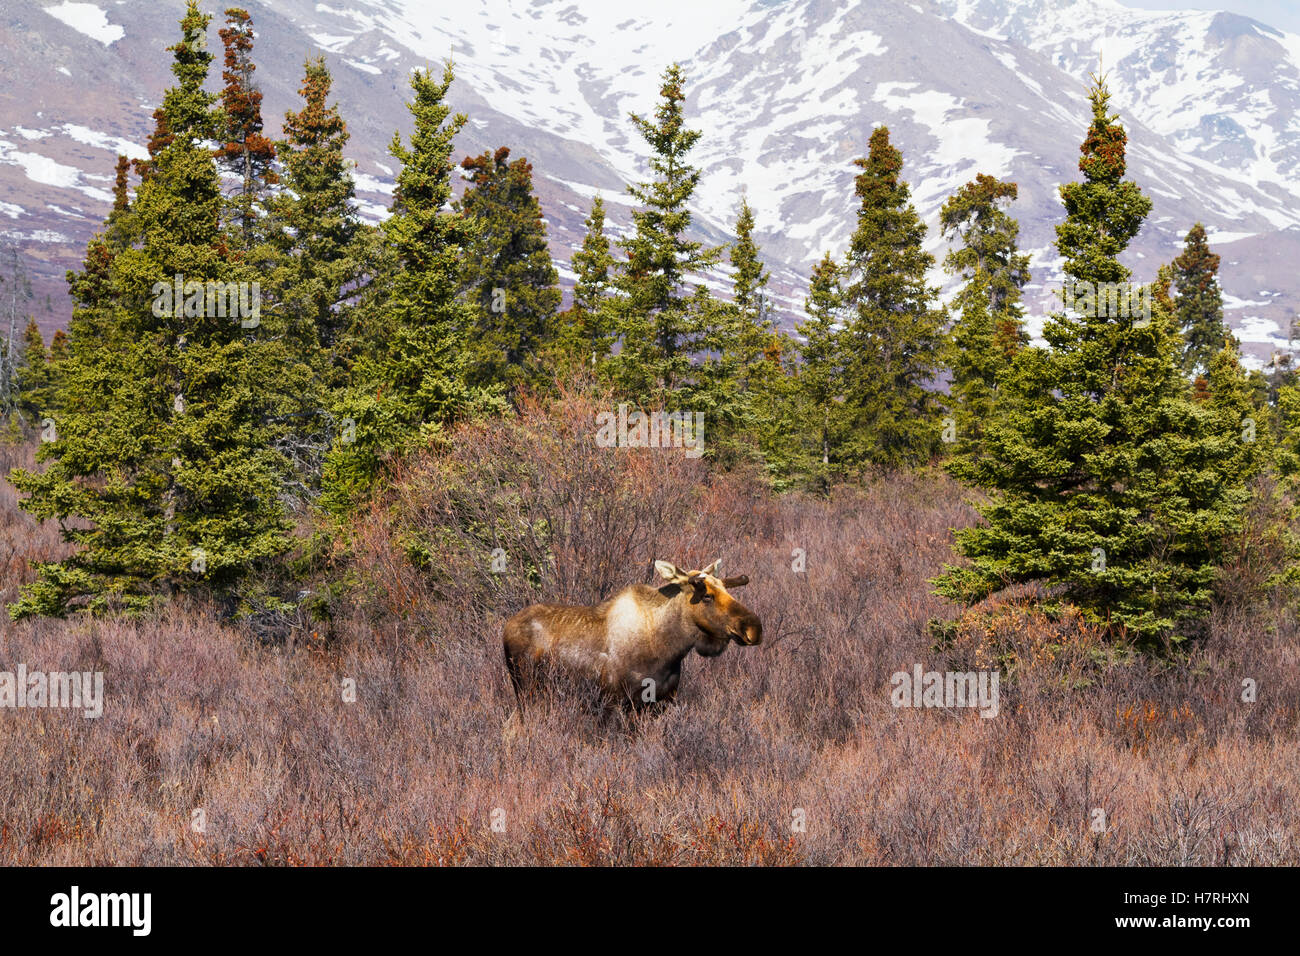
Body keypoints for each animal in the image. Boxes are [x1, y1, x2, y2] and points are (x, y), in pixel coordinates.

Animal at [502, 560, 762, 713]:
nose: (754, 627)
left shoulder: (663, 701)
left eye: (726, 589)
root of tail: (505, 628)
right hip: (526, 688)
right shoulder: (615, 701)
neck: (669, 649)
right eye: (707, 596)